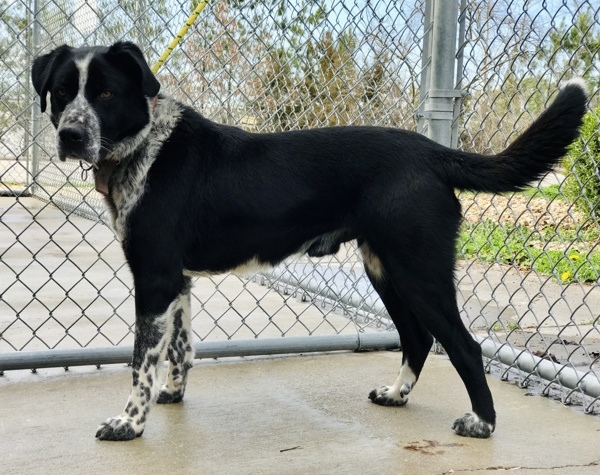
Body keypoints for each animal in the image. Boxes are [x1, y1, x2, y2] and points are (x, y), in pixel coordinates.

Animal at [31, 41, 584, 442]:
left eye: (104, 94)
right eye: (61, 92)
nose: (70, 136)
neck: (146, 146)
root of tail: (433, 150)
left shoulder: (154, 279)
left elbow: (140, 363)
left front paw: (129, 423)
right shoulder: (177, 282)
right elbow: (180, 349)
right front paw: (172, 395)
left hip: (418, 270)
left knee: (463, 345)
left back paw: (483, 424)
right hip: (384, 269)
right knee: (418, 338)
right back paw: (396, 394)